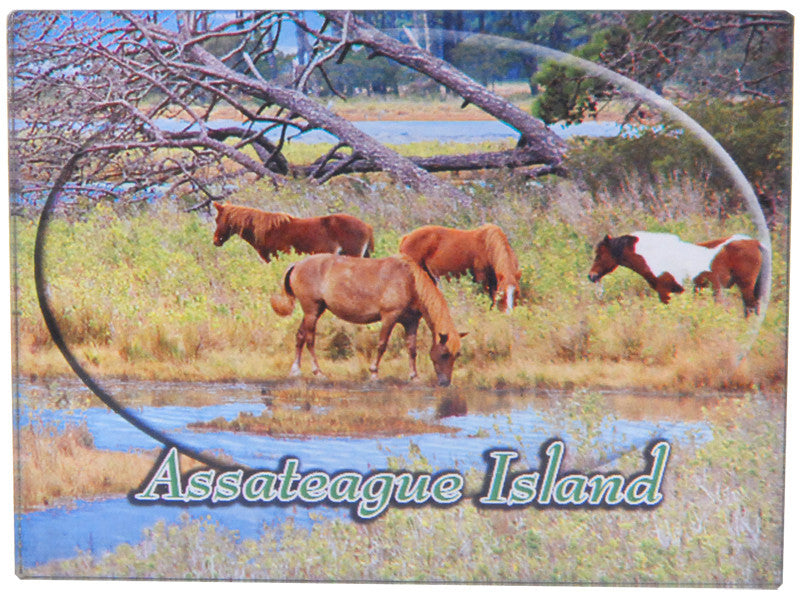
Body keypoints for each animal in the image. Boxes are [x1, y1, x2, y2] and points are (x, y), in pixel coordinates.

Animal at [269, 254, 466, 386]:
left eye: (457, 355)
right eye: (444, 354)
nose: (445, 383)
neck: (409, 281)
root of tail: (297, 264)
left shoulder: (411, 322)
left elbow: (411, 349)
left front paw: (414, 376)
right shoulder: (389, 317)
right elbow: (382, 345)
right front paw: (374, 373)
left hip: (313, 312)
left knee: (300, 336)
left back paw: (295, 370)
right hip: (312, 311)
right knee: (310, 339)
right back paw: (318, 372)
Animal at [587, 231, 770, 316]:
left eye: (599, 254)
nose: (591, 276)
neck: (657, 255)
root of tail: (755, 243)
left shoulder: (664, 292)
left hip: (745, 286)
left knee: (751, 307)